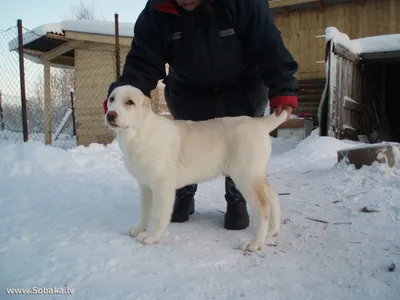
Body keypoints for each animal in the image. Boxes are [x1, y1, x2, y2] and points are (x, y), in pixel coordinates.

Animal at [104, 85, 286, 252]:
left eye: (129, 102)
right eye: (111, 99)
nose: (110, 114)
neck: (139, 132)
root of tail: (257, 123)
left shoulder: (162, 184)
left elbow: (158, 214)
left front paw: (151, 236)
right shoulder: (145, 185)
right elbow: (145, 210)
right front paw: (138, 229)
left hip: (245, 176)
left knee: (263, 207)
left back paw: (254, 244)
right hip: (256, 174)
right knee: (273, 196)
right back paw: (272, 230)